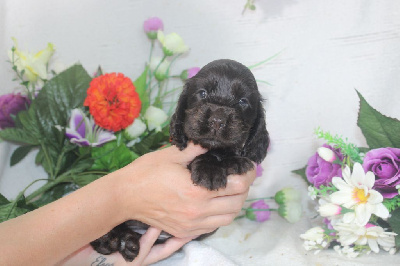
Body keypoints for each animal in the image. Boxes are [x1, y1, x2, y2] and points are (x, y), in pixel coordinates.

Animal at [90, 58, 270, 262]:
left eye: (243, 101)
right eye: (202, 93)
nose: (217, 120)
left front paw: (234, 161)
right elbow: (208, 156)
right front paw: (210, 170)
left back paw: (126, 243)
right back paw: (108, 239)